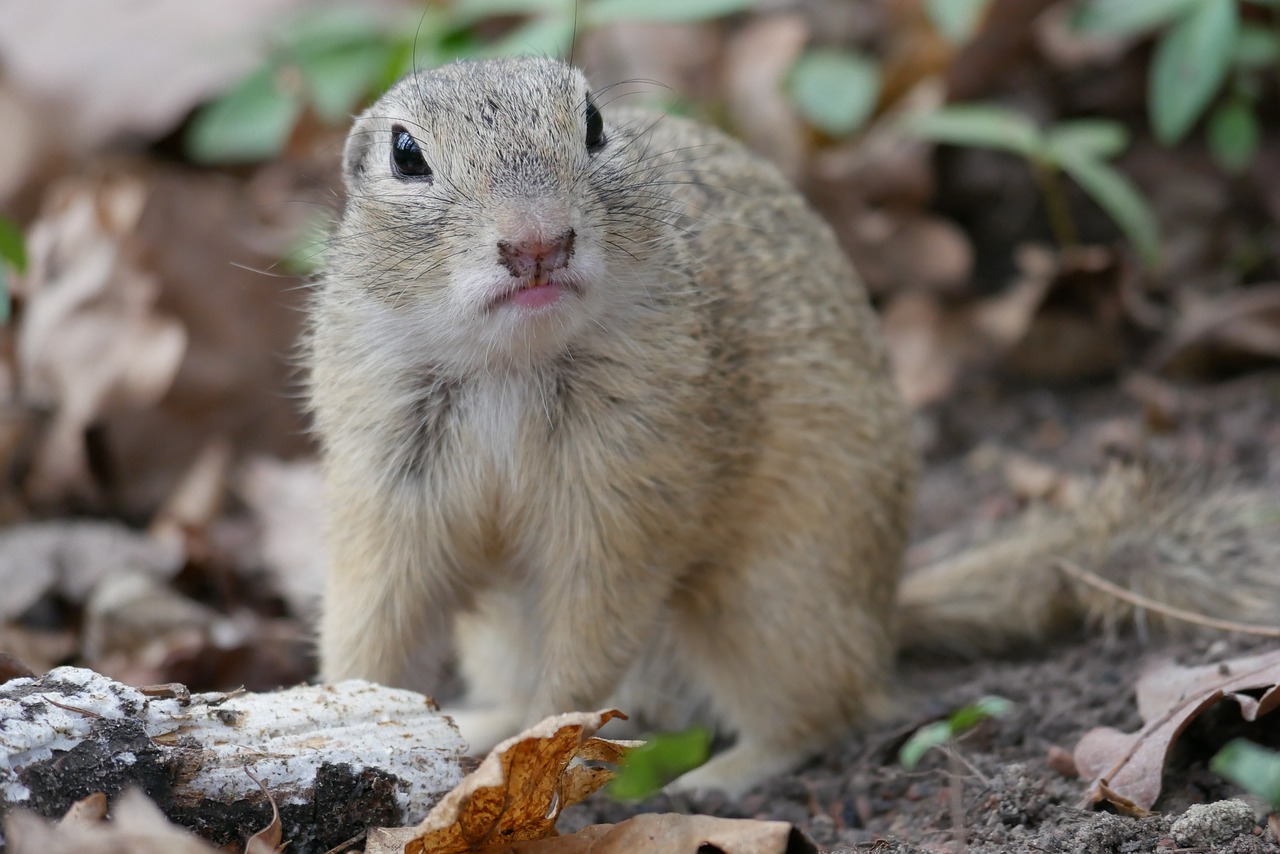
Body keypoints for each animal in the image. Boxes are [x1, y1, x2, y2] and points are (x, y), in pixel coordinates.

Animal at [307, 58, 1280, 793]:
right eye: (405, 154)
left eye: (592, 124)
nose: (538, 242)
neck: (512, 363)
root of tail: (883, 616)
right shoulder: (386, 486)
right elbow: (373, 617)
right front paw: (346, 711)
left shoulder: (624, 497)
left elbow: (591, 630)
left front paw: (545, 745)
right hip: (515, 633)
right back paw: (484, 722)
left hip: (766, 605)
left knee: (817, 713)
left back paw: (717, 777)